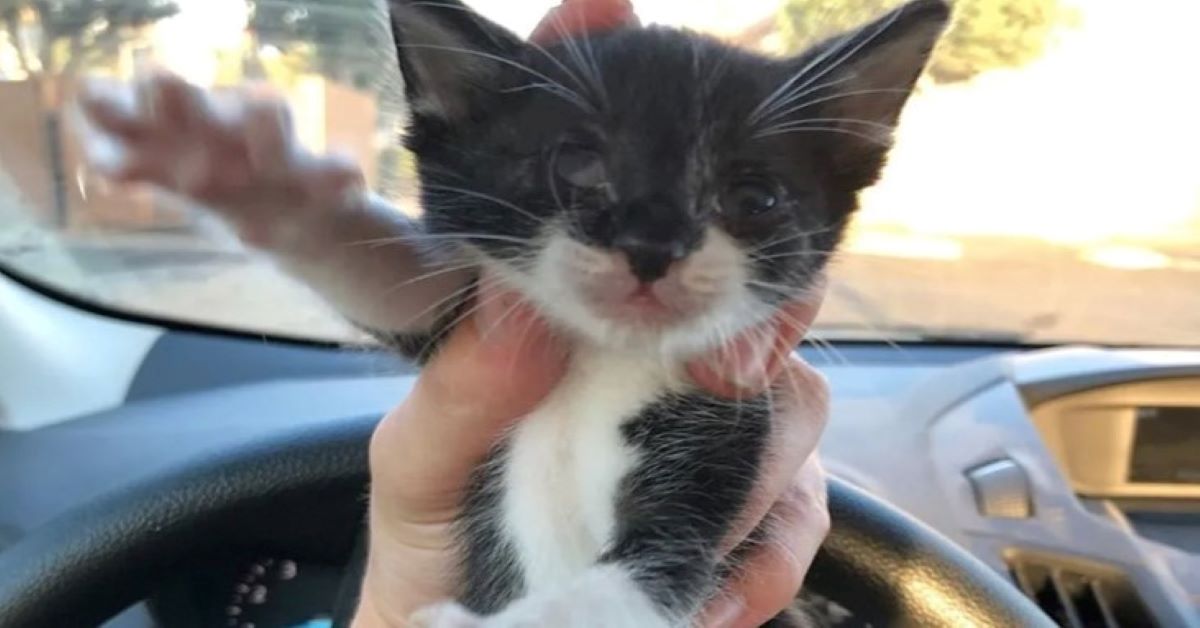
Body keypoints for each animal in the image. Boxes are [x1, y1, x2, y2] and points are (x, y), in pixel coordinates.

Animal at [379, 2, 950, 624]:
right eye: (577, 163)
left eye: (755, 197)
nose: (652, 244)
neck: (609, 360)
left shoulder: (725, 445)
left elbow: (648, 575)